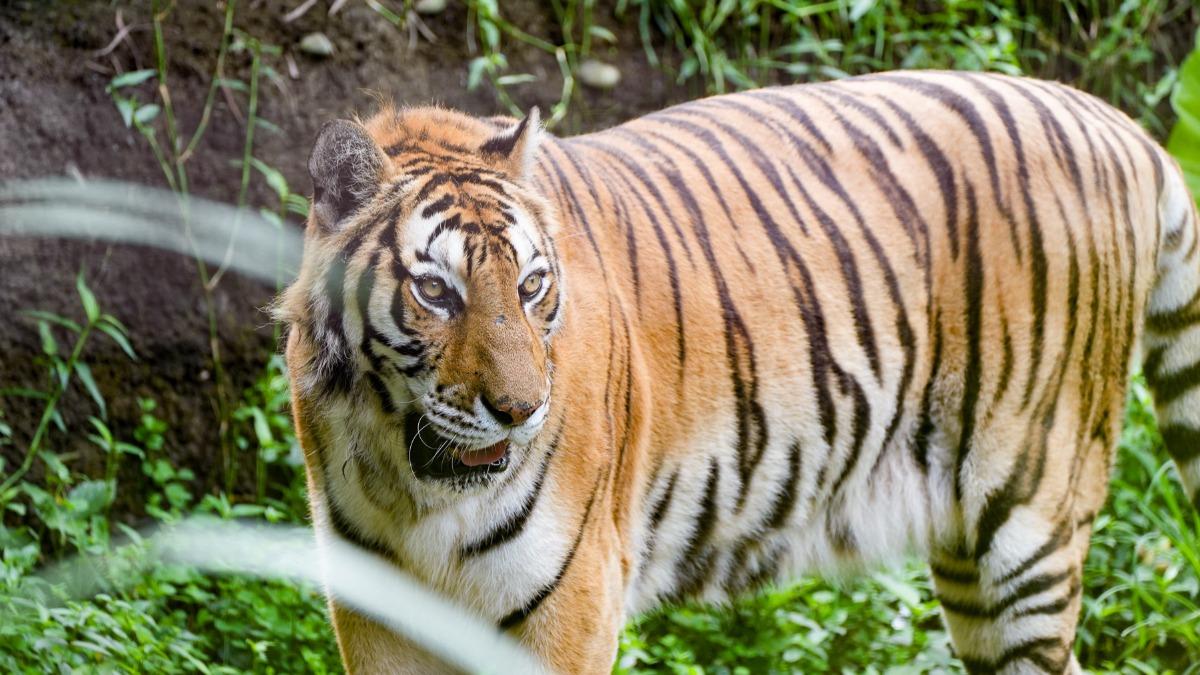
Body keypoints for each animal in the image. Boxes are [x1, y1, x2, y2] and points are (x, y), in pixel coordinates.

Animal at [276, 70, 1200, 667]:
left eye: (533, 285)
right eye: (436, 290)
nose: (519, 410)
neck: (412, 478)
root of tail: (1118, 124)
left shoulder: (570, 603)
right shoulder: (375, 612)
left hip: (1028, 520)